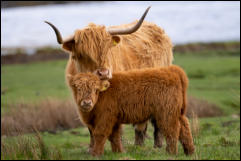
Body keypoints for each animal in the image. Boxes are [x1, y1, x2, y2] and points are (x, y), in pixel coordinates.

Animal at [67, 65, 195, 156]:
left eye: (96, 89)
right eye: (78, 88)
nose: (87, 102)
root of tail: (172, 69)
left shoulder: (106, 117)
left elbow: (100, 134)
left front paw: (96, 154)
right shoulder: (114, 119)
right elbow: (115, 136)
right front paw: (119, 152)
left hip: (166, 112)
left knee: (172, 130)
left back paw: (171, 153)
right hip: (177, 112)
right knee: (185, 128)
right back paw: (189, 152)